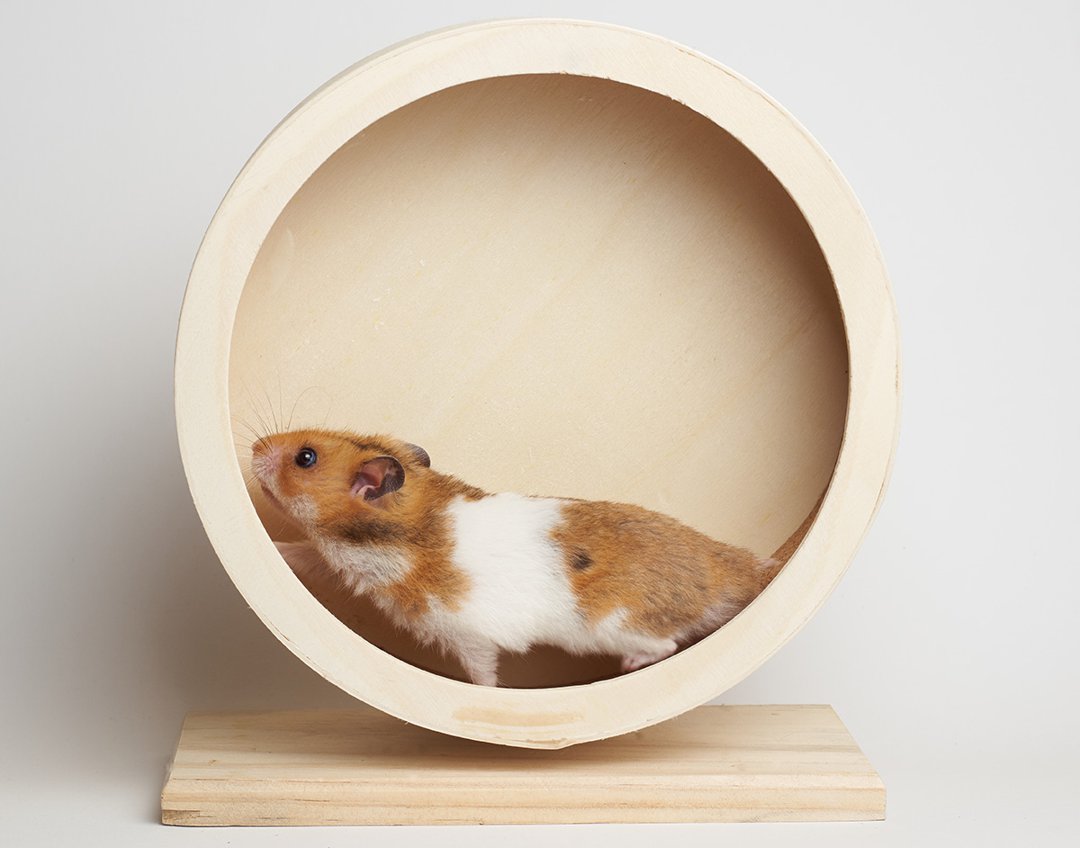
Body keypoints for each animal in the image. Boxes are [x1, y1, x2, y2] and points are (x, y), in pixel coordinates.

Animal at [250, 429, 782, 687]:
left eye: (305, 458)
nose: (254, 446)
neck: (406, 530)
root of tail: (736, 569)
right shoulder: (332, 560)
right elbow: (303, 553)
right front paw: (270, 548)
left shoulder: (465, 633)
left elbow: (484, 671)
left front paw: (486, 696)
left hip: (617, 623)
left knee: (665, 646)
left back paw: (630, 665)